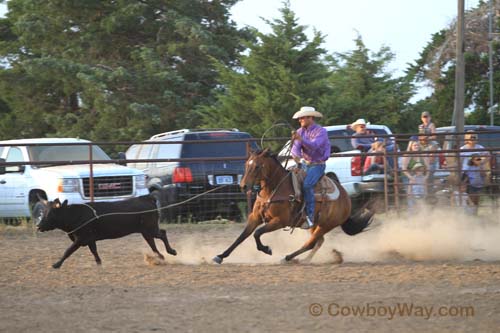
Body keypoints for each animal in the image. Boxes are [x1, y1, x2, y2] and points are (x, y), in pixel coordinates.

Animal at [213, 149, 374, 264]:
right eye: (247, 164)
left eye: (257, 166)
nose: (243, 186)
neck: (272, 191)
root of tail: (346, 198)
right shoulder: (255, 217)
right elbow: (242, 236)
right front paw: (220, 256)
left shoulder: (280, 221)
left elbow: (257, 233)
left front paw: (266, 249)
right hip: (315, 225)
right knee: (318, 242)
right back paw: (305, 260)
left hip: (326, 225)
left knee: (310, 244)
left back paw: (288, 258)